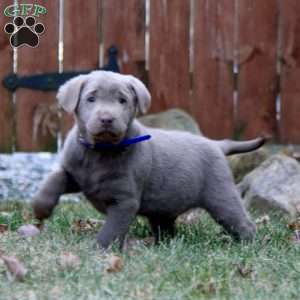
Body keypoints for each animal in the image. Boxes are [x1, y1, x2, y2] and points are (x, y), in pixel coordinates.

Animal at [32, 70, 264, 248]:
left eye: (122, 100)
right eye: (91, 99)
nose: (107, 118)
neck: (99, 152)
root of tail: (216, 144)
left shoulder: (124, 201)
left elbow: (111, 230)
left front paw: (99, 250)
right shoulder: (77, 174)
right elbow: (56, 178)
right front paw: (41, 208)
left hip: (221, 195)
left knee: (240, 221)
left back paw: (249, 245)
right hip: (164, 208)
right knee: (167, 228)